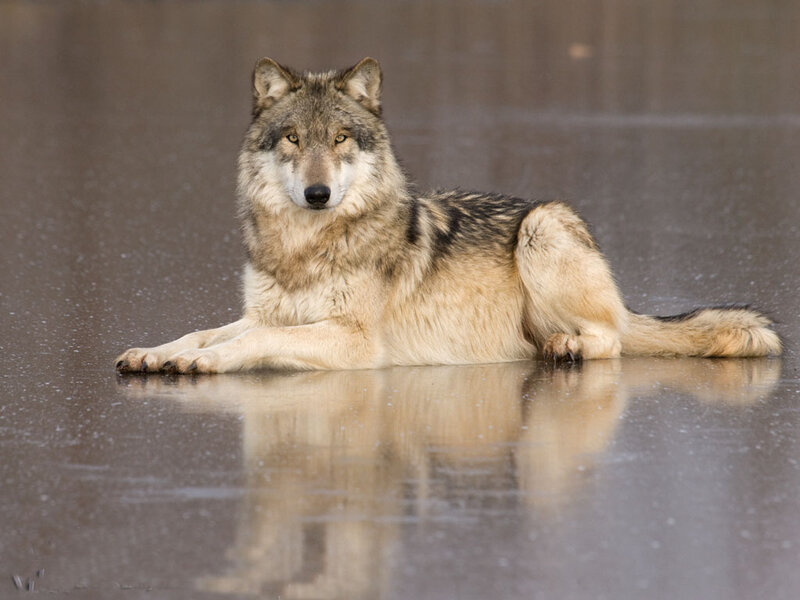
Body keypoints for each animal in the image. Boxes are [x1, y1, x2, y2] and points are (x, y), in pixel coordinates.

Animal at [115, 57, 781, 373]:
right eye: (294, 140)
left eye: (340, 139)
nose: (317, 194)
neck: (306, 247)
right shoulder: (266, 310)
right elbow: (210, 330)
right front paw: (158, 352)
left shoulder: (353, 340)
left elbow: (253, 339)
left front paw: (201, 363)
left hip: (543, 227)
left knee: (611, 340)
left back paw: (564, 345)